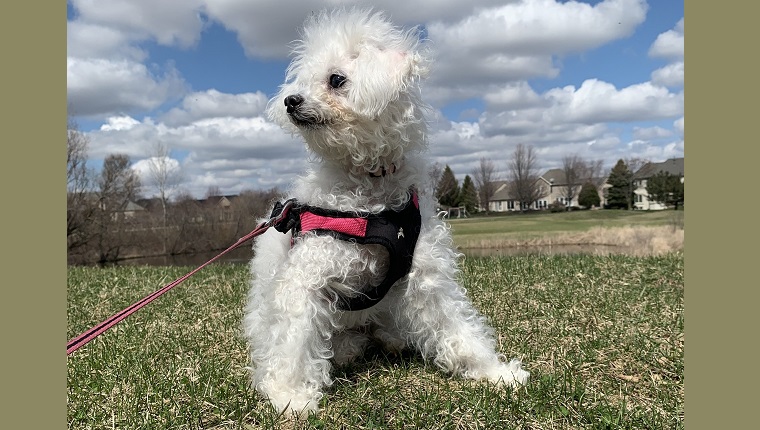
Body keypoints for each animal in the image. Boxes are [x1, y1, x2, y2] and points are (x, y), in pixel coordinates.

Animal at [243, 8, 528, 414]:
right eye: (304, 81)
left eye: (336, 80)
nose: (290, 101)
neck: (371, 192)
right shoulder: (305, 278)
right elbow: (294, 340)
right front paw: (290, 395)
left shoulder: (427, 275)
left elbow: (457, 325)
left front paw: (494, 371)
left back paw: (389, 339)